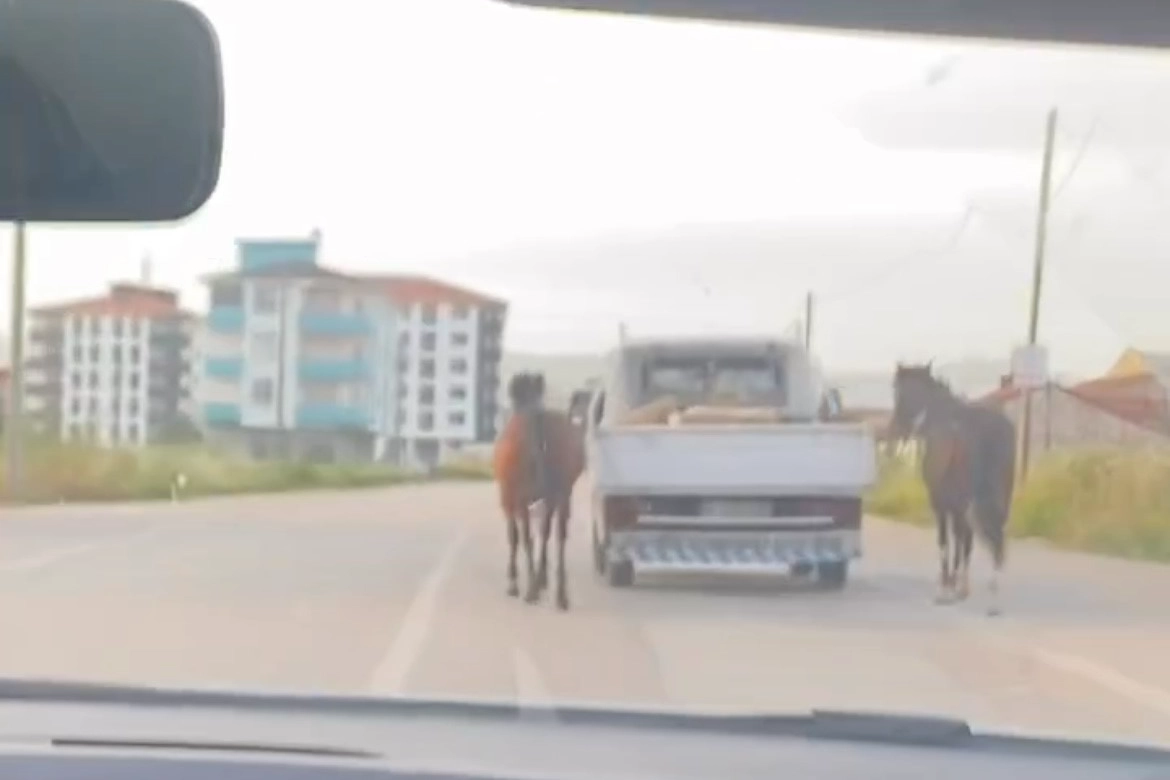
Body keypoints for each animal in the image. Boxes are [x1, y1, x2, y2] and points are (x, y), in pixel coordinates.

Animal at [491, 371, 585, 608]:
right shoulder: (550, 496)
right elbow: (546, 530)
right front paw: (542, 579)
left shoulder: (509, 497)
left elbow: (515, 535)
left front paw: (514, 582)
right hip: (561, 494)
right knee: (558, 534)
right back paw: (560, 593)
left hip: (520, 497)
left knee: (526, 536)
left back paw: (530, 589)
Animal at [893, 364, 1015, 617]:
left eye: (898, 392)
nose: (896, 428)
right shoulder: (961, 505)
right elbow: (965, 542)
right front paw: (961, 588)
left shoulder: (943, 503)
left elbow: (947, 542)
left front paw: (947, 588)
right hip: (1000, 497)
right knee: (997, 539)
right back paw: (994, 598)